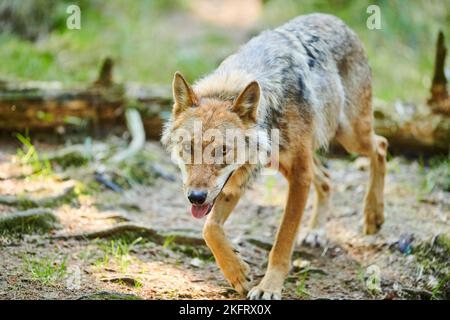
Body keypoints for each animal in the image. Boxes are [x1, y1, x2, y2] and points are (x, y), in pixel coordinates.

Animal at [162, 13, 386, 300]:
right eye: (188, 148)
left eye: (222, 150)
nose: (195, 197)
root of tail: (335, 20)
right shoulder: (237, 183)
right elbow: (209, 229)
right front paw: (238, 273)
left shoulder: (299, 177)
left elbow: (282, 241)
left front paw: (268, 287)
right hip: (291, 159)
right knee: (326, 177)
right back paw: (316, 232)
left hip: (350, 136)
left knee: (381, 146)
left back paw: (373, 215)